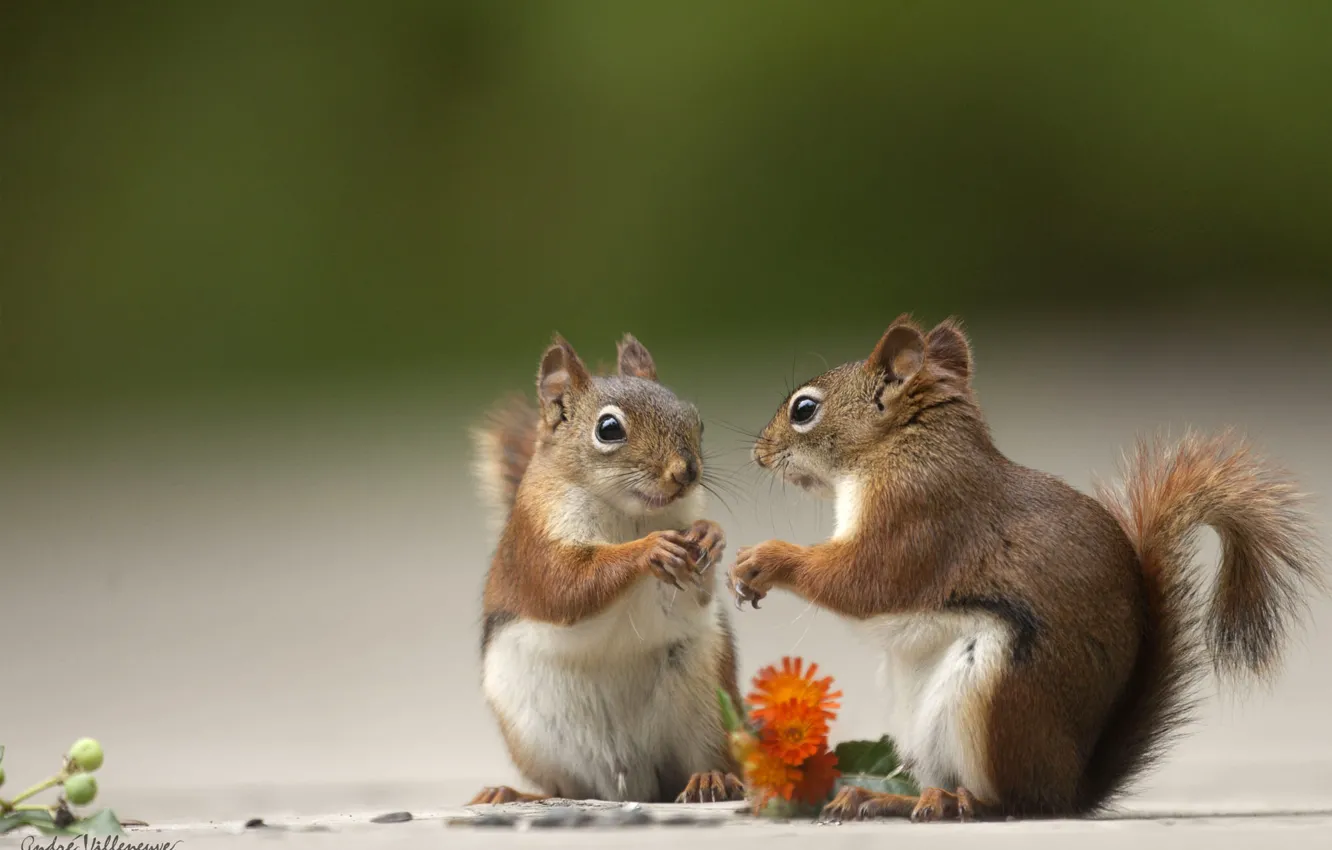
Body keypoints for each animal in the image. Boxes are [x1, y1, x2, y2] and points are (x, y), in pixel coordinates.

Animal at [468, 331, 745, 804]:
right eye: (609, 429)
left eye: (697, 420)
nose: (687, 472)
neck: (628, 514)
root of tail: (632, 784)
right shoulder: (536, 547)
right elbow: (569, 586)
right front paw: (650, 549)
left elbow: (697, 592)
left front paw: (710, 534)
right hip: (536, 735)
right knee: (563, 787)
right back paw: (514, 794)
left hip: (708, 701)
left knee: (704, 760)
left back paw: (711, 779)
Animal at [735, 314, 1326, 826]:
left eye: (804, 409)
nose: (758, 454)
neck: (903, 447)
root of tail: (1071, 786)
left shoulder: (917, 519)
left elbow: (863, 581)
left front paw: (765, 559)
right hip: (920, 720)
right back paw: (884, 797)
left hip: (994, 697)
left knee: (1013, 801)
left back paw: (957, 803)